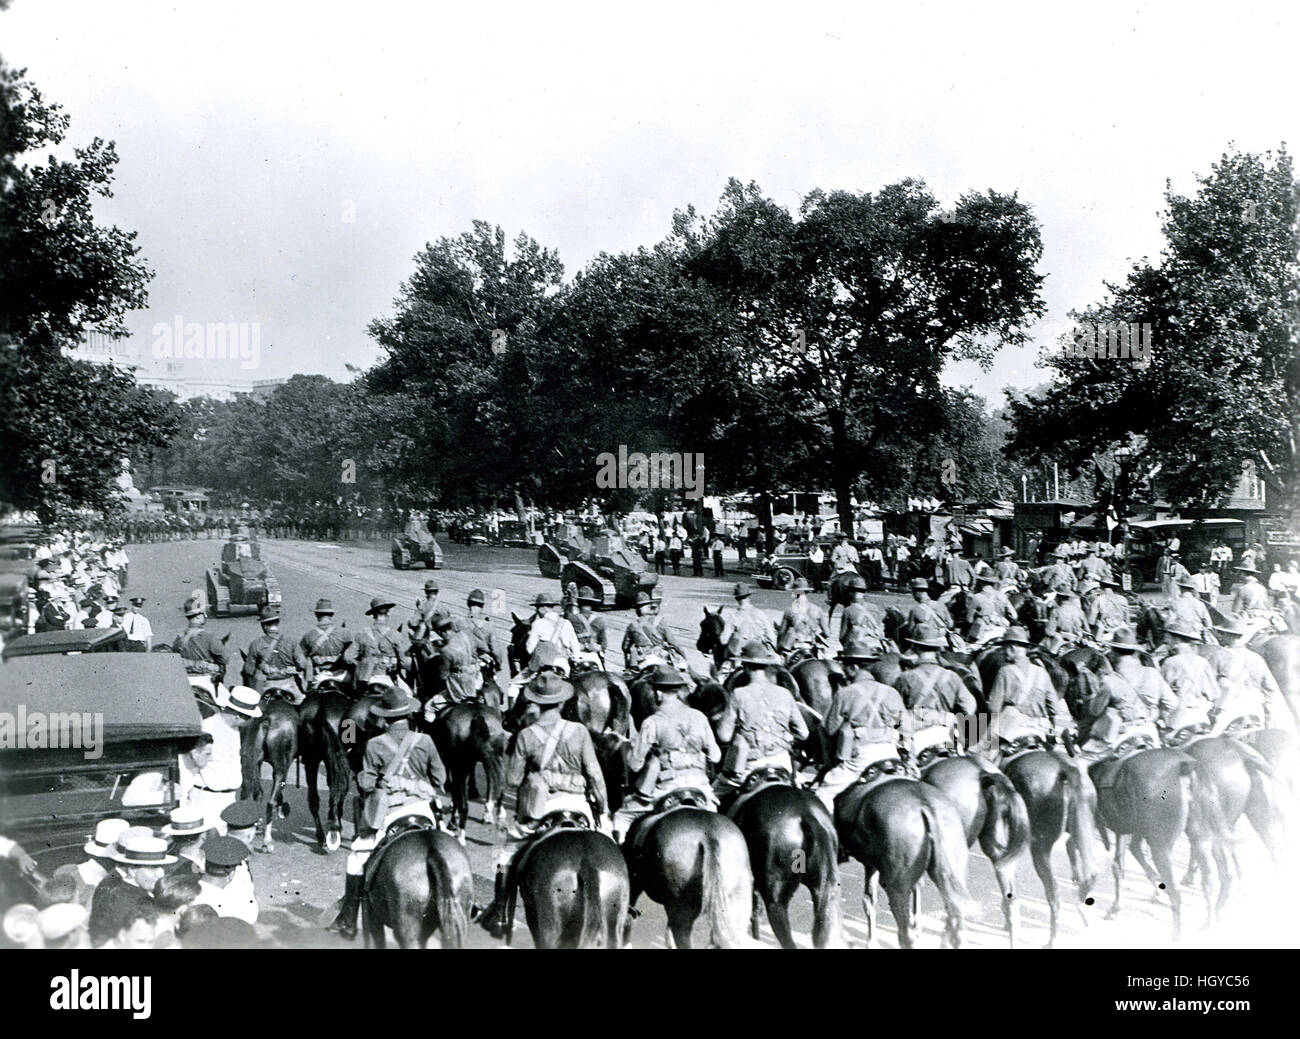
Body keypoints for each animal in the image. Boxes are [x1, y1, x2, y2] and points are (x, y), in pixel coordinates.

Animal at [826, 769, 972, 951]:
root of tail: (924, 804)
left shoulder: (870, 865)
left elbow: (868, 901)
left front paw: (871, 942)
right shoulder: (874, 865)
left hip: (897, 887)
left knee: (905, 933)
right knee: (955, 917)